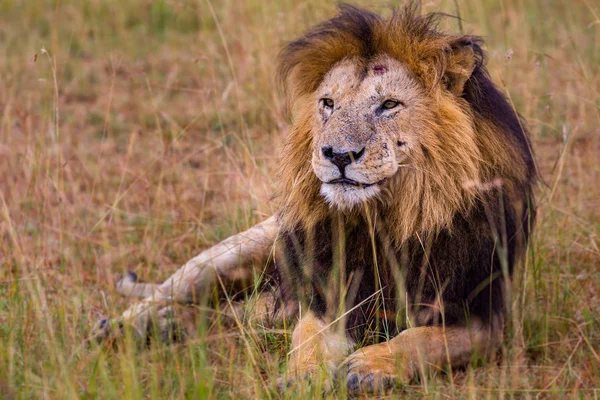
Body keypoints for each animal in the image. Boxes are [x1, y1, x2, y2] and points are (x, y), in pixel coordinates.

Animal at [92, 3, 536, 396]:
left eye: (389, 104)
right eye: (328, 103)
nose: (338, 155)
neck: (386, 221)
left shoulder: (482, 316)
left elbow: (423, 339)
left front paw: (371, 365)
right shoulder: (325, 290)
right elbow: (307, 333)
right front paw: (305, 374)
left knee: (227, 316)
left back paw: (170, 326)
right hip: (232, 253)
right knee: (174, 294)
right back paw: (126, 327)